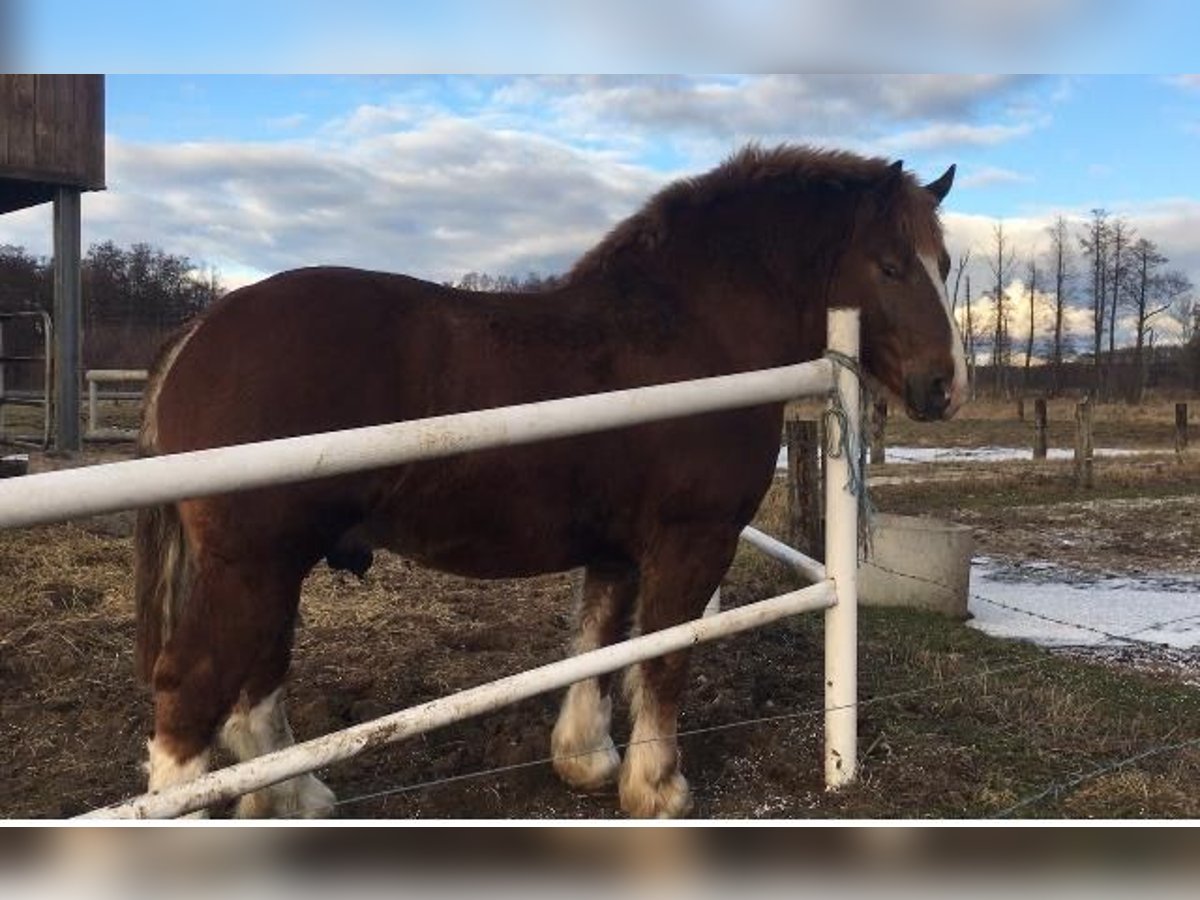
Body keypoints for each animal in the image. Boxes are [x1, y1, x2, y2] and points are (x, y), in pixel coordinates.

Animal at [133, 144, 964, 820]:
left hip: (272, 570)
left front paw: (588, 761)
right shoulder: (693, 539)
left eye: (947, 266)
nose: (944, 386)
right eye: (890, 265)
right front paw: (657, 788)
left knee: (255, 689)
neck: (692, 330)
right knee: (191, 690)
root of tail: (199, 332)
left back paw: (296, 798)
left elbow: (601, 646)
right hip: (253, 566)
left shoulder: (617, 549)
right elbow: (664, 656)